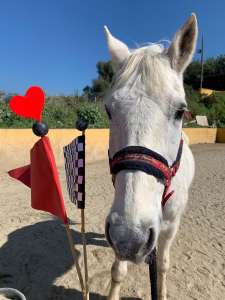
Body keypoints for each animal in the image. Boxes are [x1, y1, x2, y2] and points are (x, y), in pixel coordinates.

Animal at [104, 14, 199, 300]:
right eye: (109, 111)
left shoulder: (169, 227)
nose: (130, 238)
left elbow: (163, 265)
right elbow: (118, 271)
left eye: (180, 111)